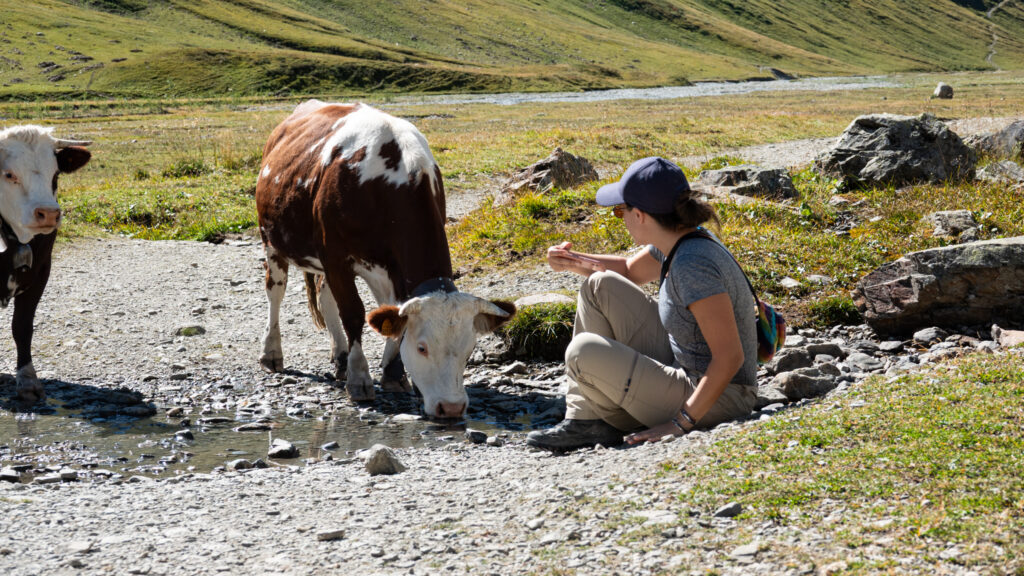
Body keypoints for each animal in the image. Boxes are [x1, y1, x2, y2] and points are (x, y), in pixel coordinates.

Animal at [0, 125, 91, 403]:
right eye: (9, 174)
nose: (49, 214)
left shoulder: (40, 273)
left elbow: (22, 327)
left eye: (56, 174)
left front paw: (28, 381)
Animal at [255, 100, 515, 419]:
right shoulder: (337, 257)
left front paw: (393, 373)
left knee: (326, 297)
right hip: (272, 240)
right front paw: (360, 379)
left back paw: (340, 356)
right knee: (275, 292)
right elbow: (354, 314)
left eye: (468, 351)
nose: (452, 407)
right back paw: (272, 353)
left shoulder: (384, 268)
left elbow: (392, 315)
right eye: (422, 348)